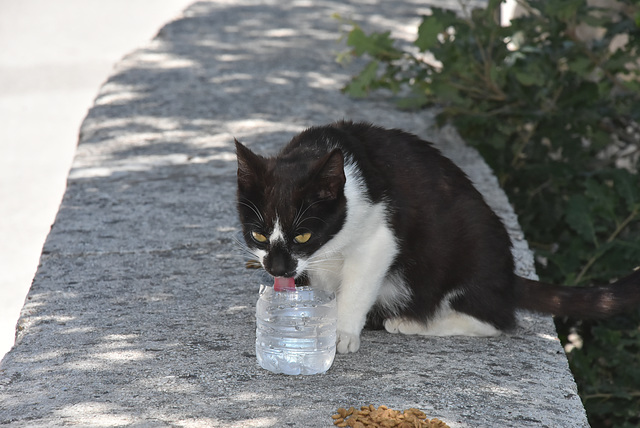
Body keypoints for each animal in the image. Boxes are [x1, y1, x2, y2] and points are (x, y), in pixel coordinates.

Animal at [235, 121, 640, 354]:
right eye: (258, 234)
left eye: (303, 234)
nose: (277, 268)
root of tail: (507, 278)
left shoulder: (379, 238)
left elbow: (357, 286)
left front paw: (339, 331)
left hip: (472, 248)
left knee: (495, 321)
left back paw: (411, 322)